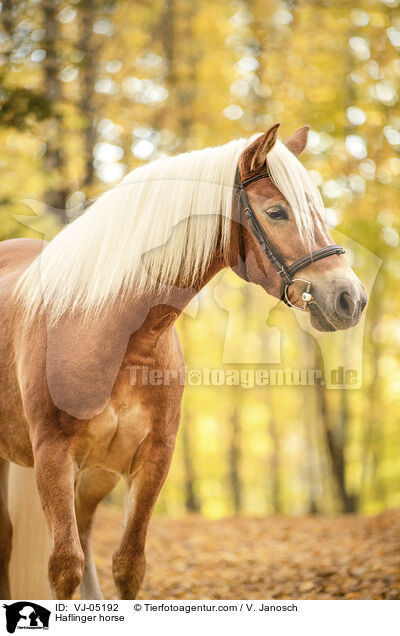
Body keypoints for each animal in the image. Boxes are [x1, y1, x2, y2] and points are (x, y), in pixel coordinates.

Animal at [0, 124, 368, 600]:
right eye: (276, 212)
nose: (350, 298)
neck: (106, 328)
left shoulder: (152, 458)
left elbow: (128, 565)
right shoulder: (53, 458)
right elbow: (64, 568)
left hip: (97, 473)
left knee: (83, 529)